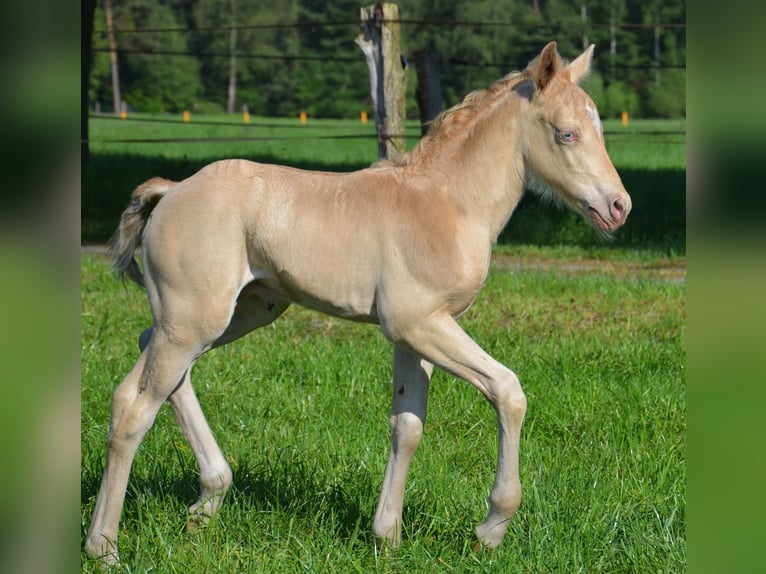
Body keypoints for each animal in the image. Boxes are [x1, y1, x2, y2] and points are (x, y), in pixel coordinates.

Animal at [85, 42, 632, 564]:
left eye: (600, 128)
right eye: (566, 134)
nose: (618, 207)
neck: (449, 204)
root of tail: (172, 190)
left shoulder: (417, 334)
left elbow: (407, 425)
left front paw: (387, 537)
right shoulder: (419, 324)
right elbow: (508, 391)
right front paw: (490, 529)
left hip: (237, 312)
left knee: (152, 359)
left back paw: (208, 500)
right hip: (194, 321)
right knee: (134, 407)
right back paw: (104, 546)